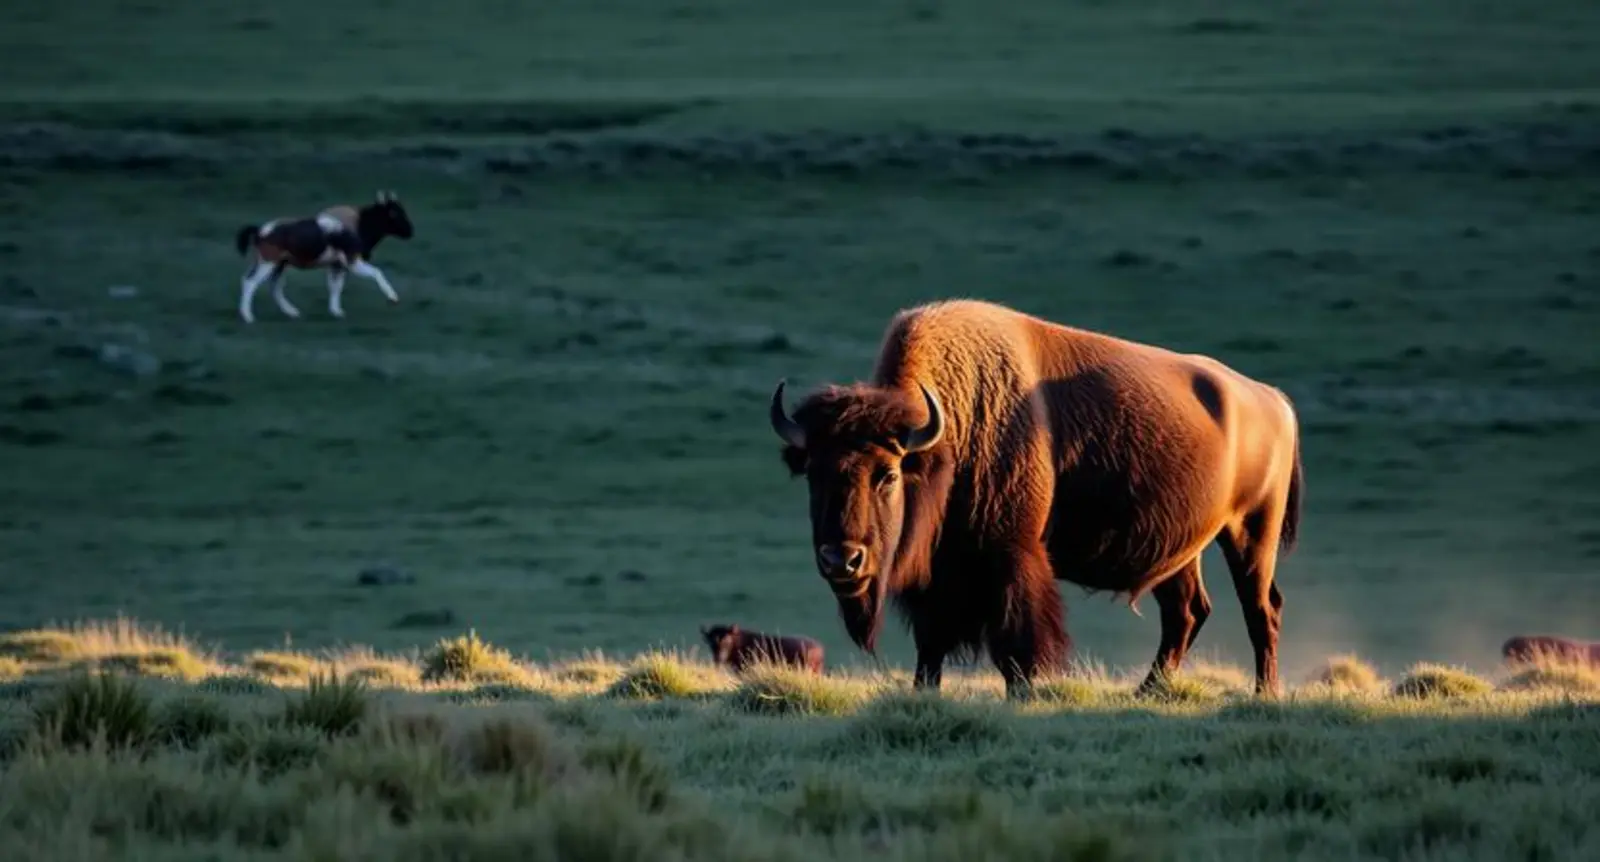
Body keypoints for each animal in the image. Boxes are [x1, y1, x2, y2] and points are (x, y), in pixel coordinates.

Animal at [769, 298, 1305, 698]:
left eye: (887, 474)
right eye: (813, 472)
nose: (842, 560)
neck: (947, 438)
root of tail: (1272, 399)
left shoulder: (1012, 557)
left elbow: (1017, 639)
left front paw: (1021, 693)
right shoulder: (939, 576)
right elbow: (931, 641)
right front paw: (924, 692)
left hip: (1250, 533)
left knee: (1262, 610)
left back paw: (1265, 693)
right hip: (1182, 551)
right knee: (1187, 611)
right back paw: (1148, 690)